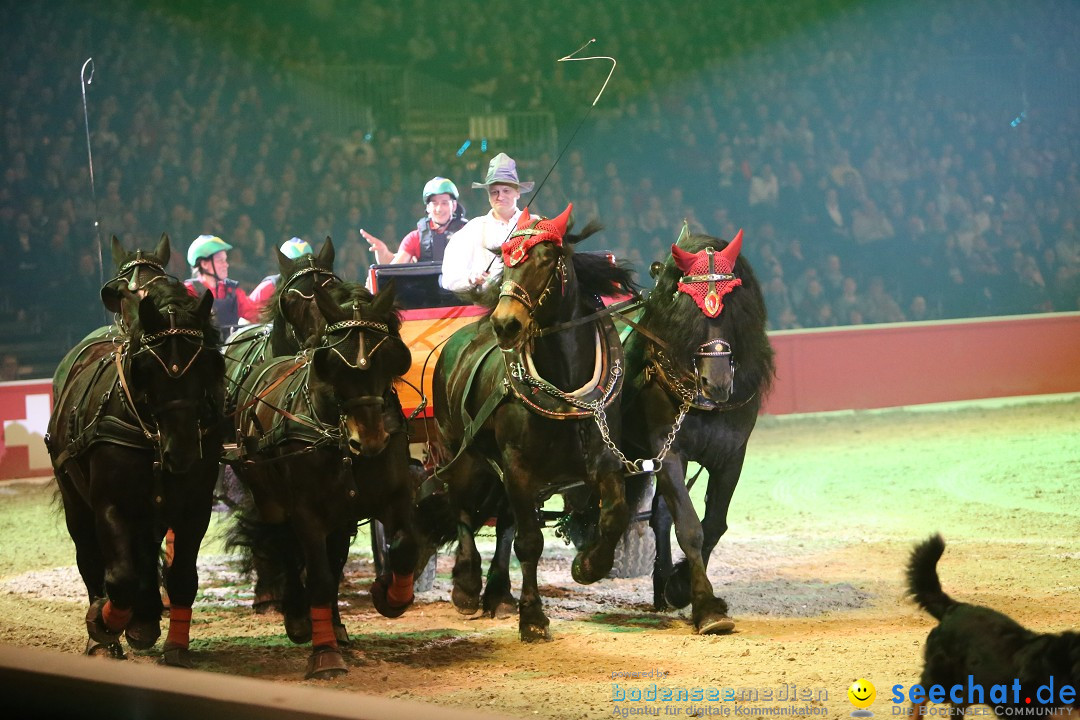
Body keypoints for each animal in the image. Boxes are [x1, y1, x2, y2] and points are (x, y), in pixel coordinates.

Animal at [46, 276, 223, 664]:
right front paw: (103, 623)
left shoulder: (194, 508)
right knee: (90, 558)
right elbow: (120, 577)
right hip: (75, 502)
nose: (182, 452)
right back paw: (105, 633)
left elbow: (182, 576)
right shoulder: (110, 505)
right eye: (148, 368)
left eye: (206, 362)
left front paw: (175, 647)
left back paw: (143, 620)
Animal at [230, 282, 414, 682]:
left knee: (336, 558)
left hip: (341, 516)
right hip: (271, 500)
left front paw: (389, 596)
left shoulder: (394, 496)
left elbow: (403, 548)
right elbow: (318, 577)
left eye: (390, 356)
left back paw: (335, 623)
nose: (370, 439)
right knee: (285, 545)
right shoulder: (307, 512)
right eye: (332, 362)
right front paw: (324, 653)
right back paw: (301, 618)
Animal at [425, 205, 635, 643]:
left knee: (502, 521)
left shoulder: (604, 460)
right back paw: (467, 585)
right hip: (460, 453)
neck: (566, 389)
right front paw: (533, 616)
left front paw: (589, 565)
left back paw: (499, 592)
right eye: (505, 262)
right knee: (461, 507)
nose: (505, 323)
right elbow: (529, 542)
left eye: (545, 258)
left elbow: (614, 515)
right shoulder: (519, 467)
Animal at [622, 227, 773, 634]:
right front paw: (705, 606)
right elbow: (690, 526)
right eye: (687, 308)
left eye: (733, 303)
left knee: (660, 514)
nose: (716, 382)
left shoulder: (732, 455)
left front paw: (679, 587)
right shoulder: (668, 450)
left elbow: (715, 524)